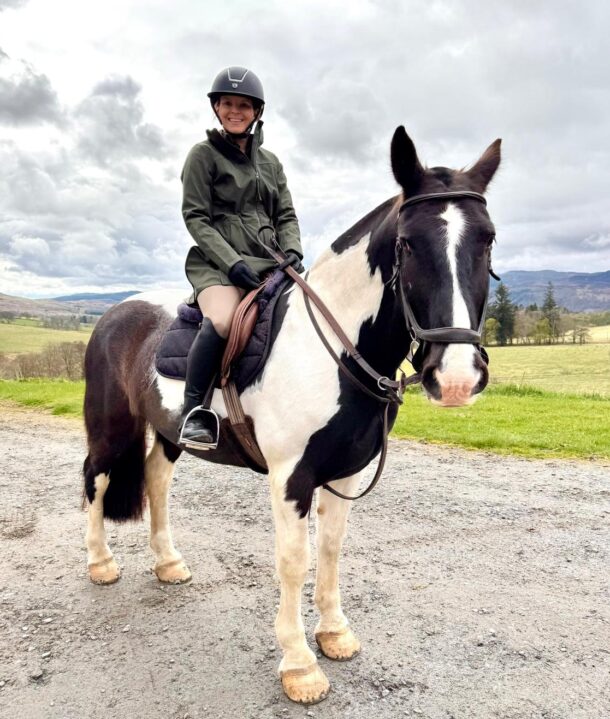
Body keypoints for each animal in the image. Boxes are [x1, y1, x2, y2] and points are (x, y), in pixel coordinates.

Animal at [82, 126, 501, 705]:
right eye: (408, 243)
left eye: (488, 239)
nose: (457, 376)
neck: (334, 349)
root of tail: (115, 311)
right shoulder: (290, 477)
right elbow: (293, 560)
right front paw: (300, 665)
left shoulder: (344, 474)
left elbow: (330, 549)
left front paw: (335, 633)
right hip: (110, 426)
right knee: (97, 478)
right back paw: (101, 564)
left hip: (170, 432)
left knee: (155, 478)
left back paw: (168, 563)